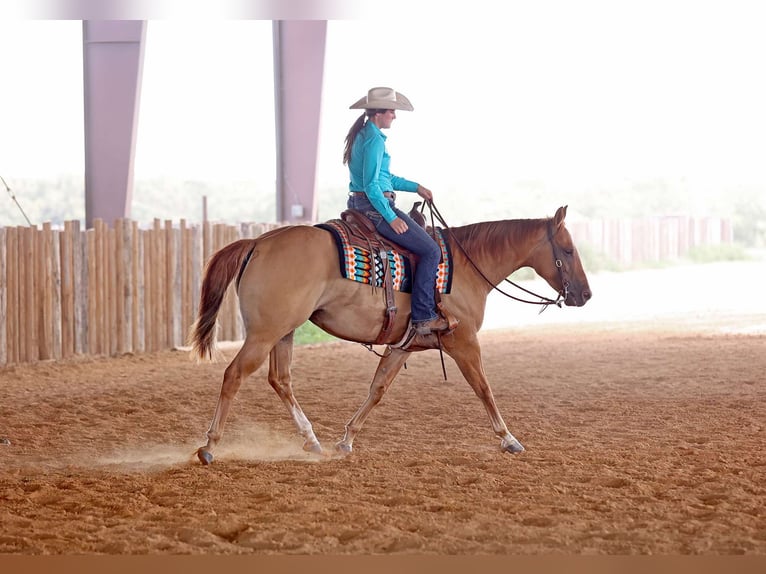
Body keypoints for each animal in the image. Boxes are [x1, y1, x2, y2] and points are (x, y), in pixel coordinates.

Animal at [190, 205, 591, 464]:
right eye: (568, 249)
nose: (585, 295)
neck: (467, 266)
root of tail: (258, 242)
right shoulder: (464, 343)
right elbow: (484, 388)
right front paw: (509, 439)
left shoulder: (403, 346)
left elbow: (378, 389)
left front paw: (347, 440)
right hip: (265, 333)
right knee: (234, 374)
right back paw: (210, 445)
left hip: (283, 331)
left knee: (280, 379)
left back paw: (312, 441)